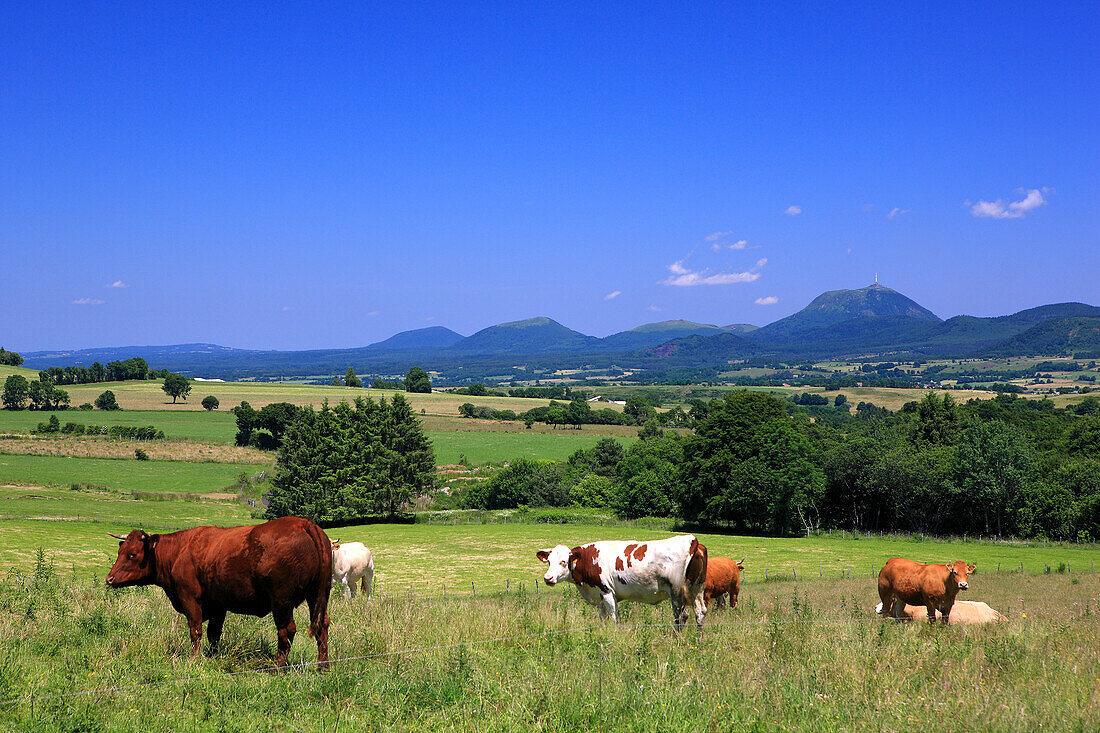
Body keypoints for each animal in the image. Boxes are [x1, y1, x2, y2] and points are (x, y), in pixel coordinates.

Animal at [106, 512, 330, 669]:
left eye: (133, 554)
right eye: (120, 551)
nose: (109, 578)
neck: (180, 551)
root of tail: (302, 523)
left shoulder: (189, 597)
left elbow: (195, 630)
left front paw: (195, 659)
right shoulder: (218, 604)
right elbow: (214, 633)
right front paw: (212, 656)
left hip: (282, 601)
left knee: (286, 630)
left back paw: (277, 668)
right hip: (318, 596)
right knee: (322, 627)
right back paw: (323, 667)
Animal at [536, 530, 708, 629]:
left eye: (563, 561)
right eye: (549, 561)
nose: (547, 578)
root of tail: (693, 541)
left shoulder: (607, 592)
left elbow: (614, 619)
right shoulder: (600, 595)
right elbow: (603, 619)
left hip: (677, 592)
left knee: (681, 617)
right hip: (696, 589)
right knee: (700, 613)